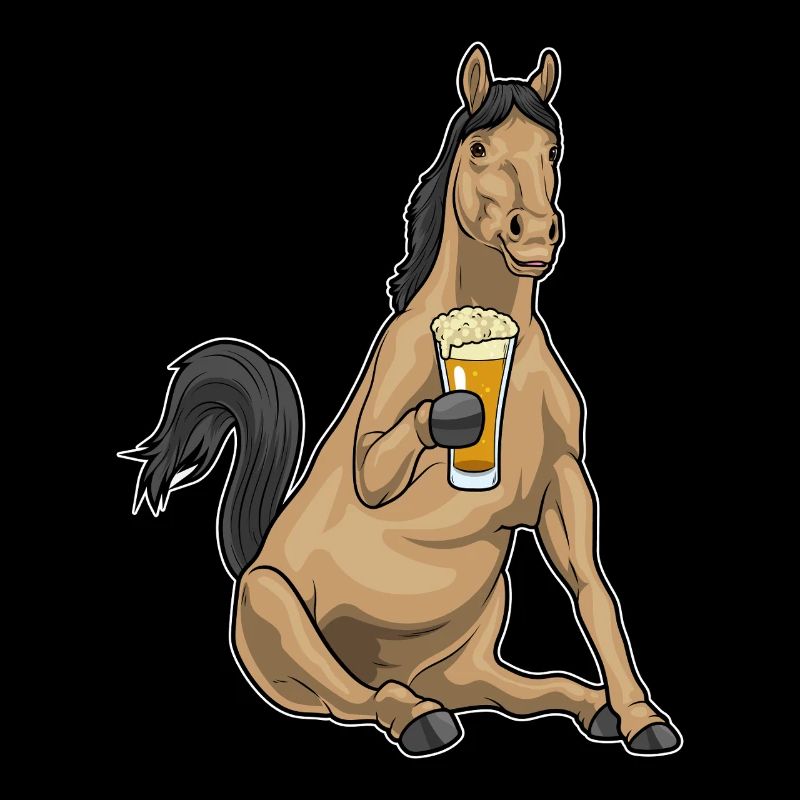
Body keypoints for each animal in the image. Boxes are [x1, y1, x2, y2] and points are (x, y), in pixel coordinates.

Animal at [120, 43, 681, 758]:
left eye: (553, 150)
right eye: (478, 147)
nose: (534, 235)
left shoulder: (566, 482)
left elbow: (594, 593)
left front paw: (641, 716)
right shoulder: (393, 400)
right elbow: (377, 464)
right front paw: (456, 415)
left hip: (468, 652)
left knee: (510, 689)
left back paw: (588, 706)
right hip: (278, 610)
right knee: (352, 698)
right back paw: (415, 717)